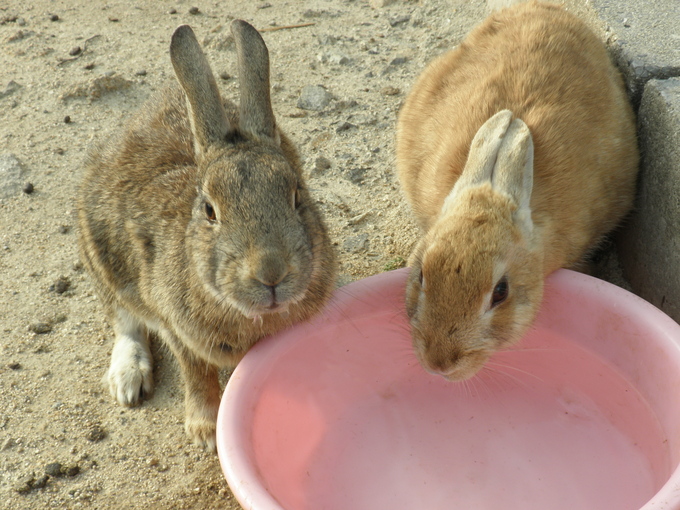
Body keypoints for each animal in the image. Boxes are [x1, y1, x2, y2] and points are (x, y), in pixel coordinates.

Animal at [77, 20, 338, 450]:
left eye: (297, 194)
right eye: (210, 210)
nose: (270, 274)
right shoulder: (177, 327)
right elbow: (195, 372)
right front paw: (205, 431)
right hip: (100, 259)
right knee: (124, 322)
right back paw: (128, 381)